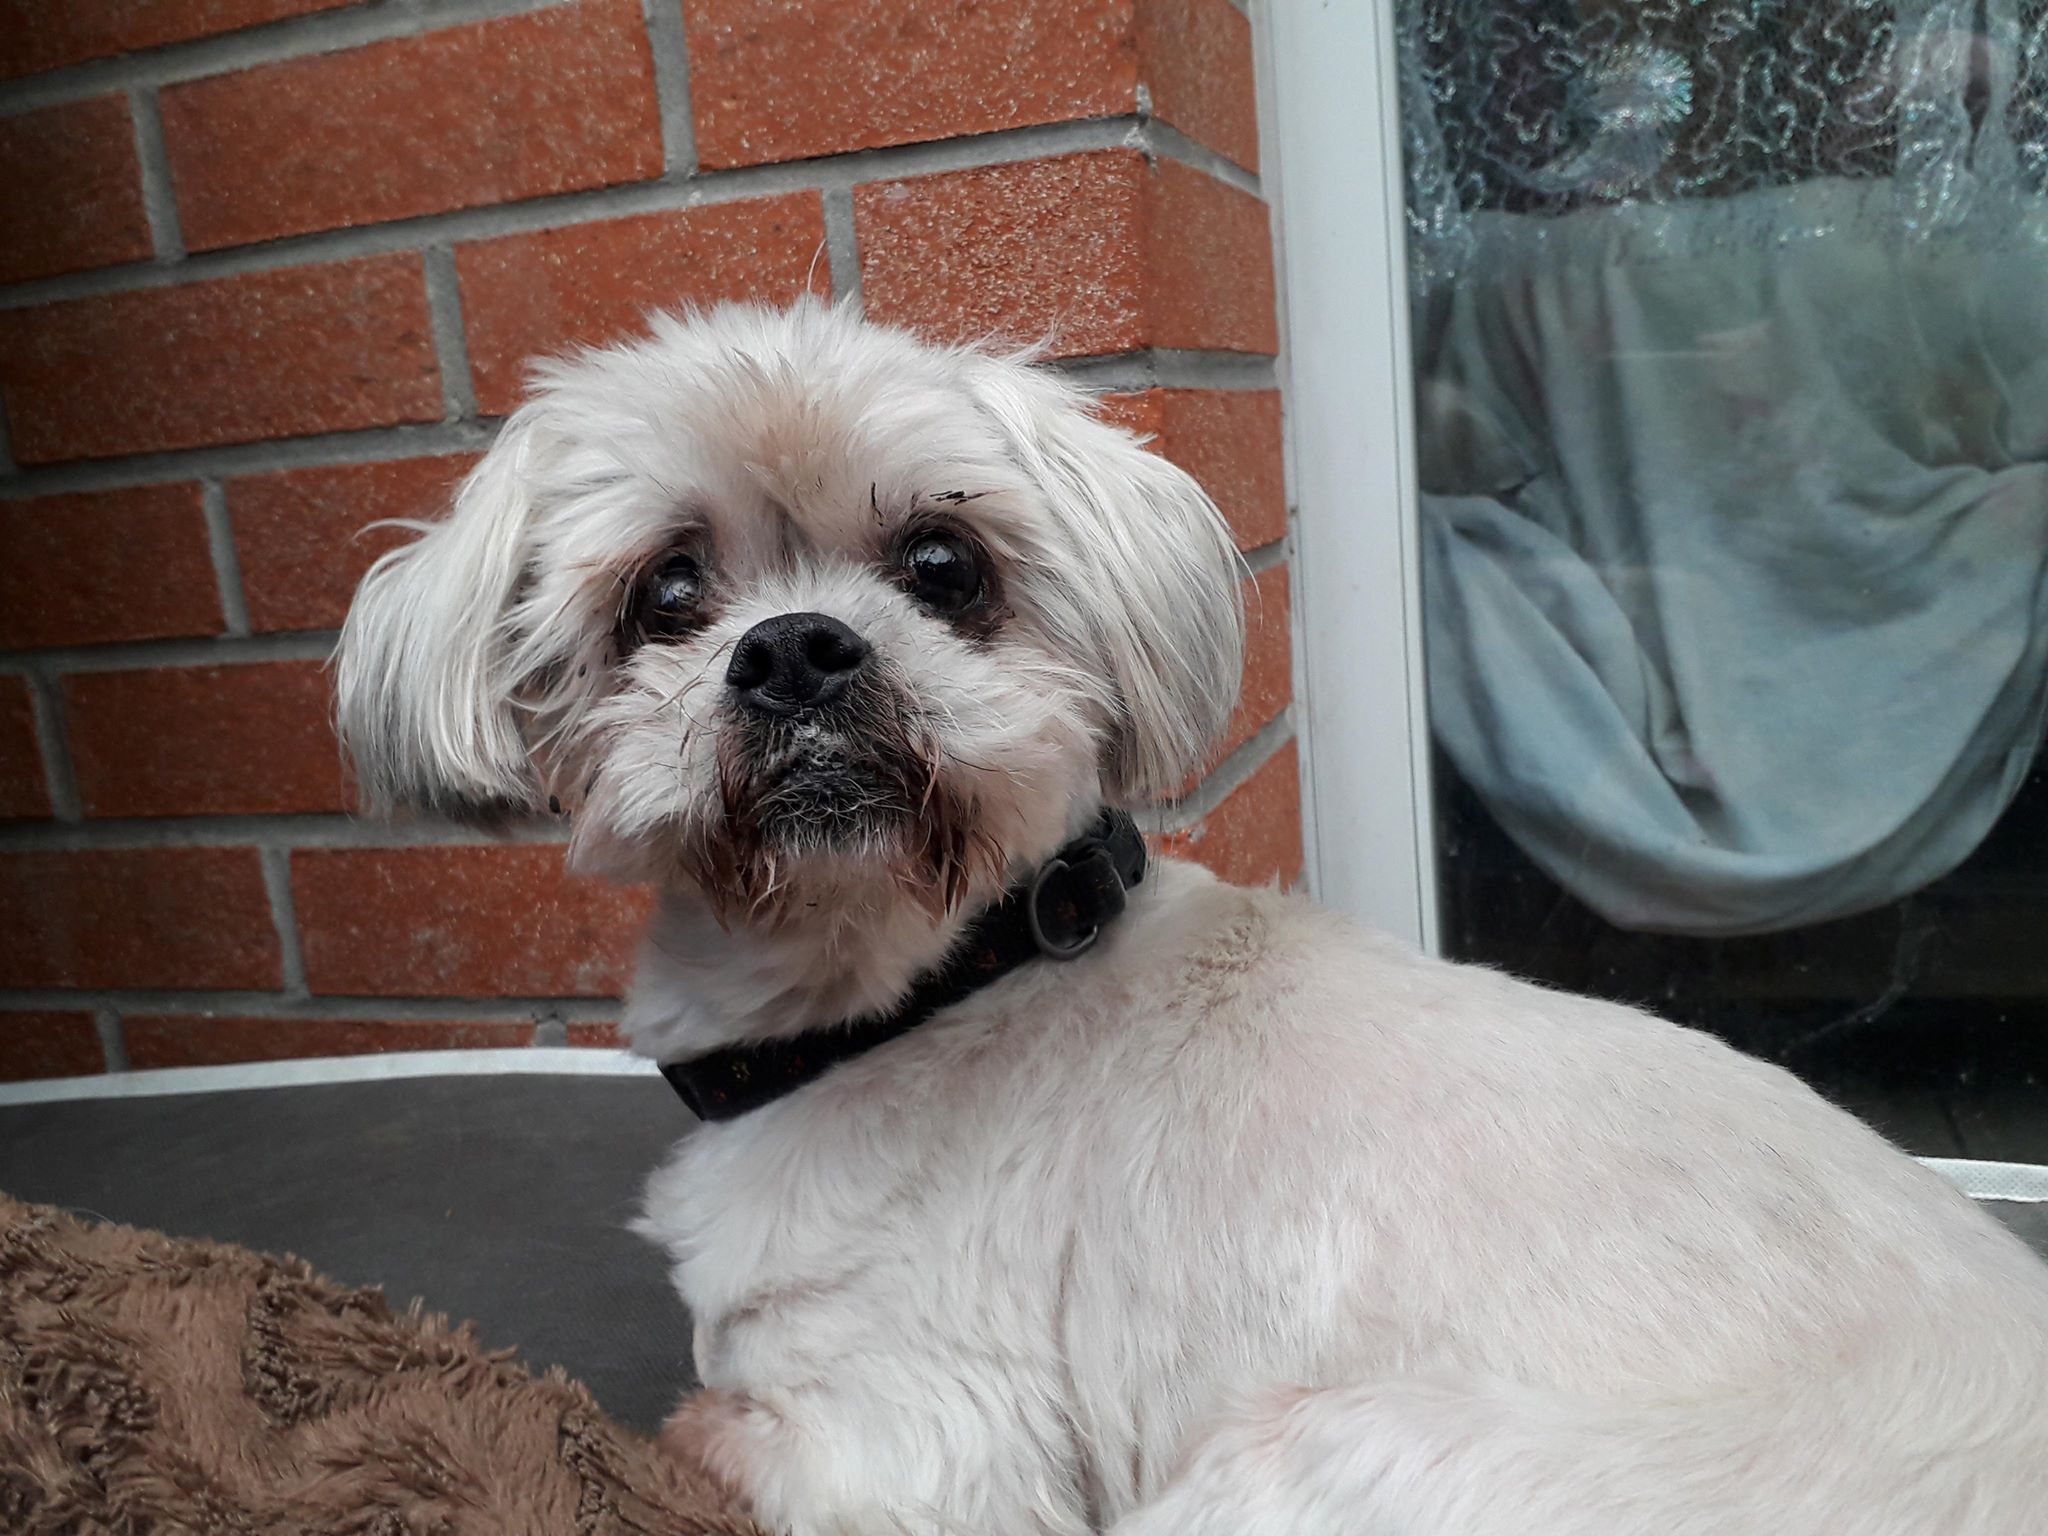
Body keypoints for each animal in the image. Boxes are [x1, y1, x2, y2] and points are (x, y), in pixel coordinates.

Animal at [337, 298, 2048, 1534]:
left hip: (1311, 1467)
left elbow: (699, 1427)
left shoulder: (919, 1446)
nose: (798, 647)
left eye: (945, 563)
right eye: (669, 596)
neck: (929, 985)